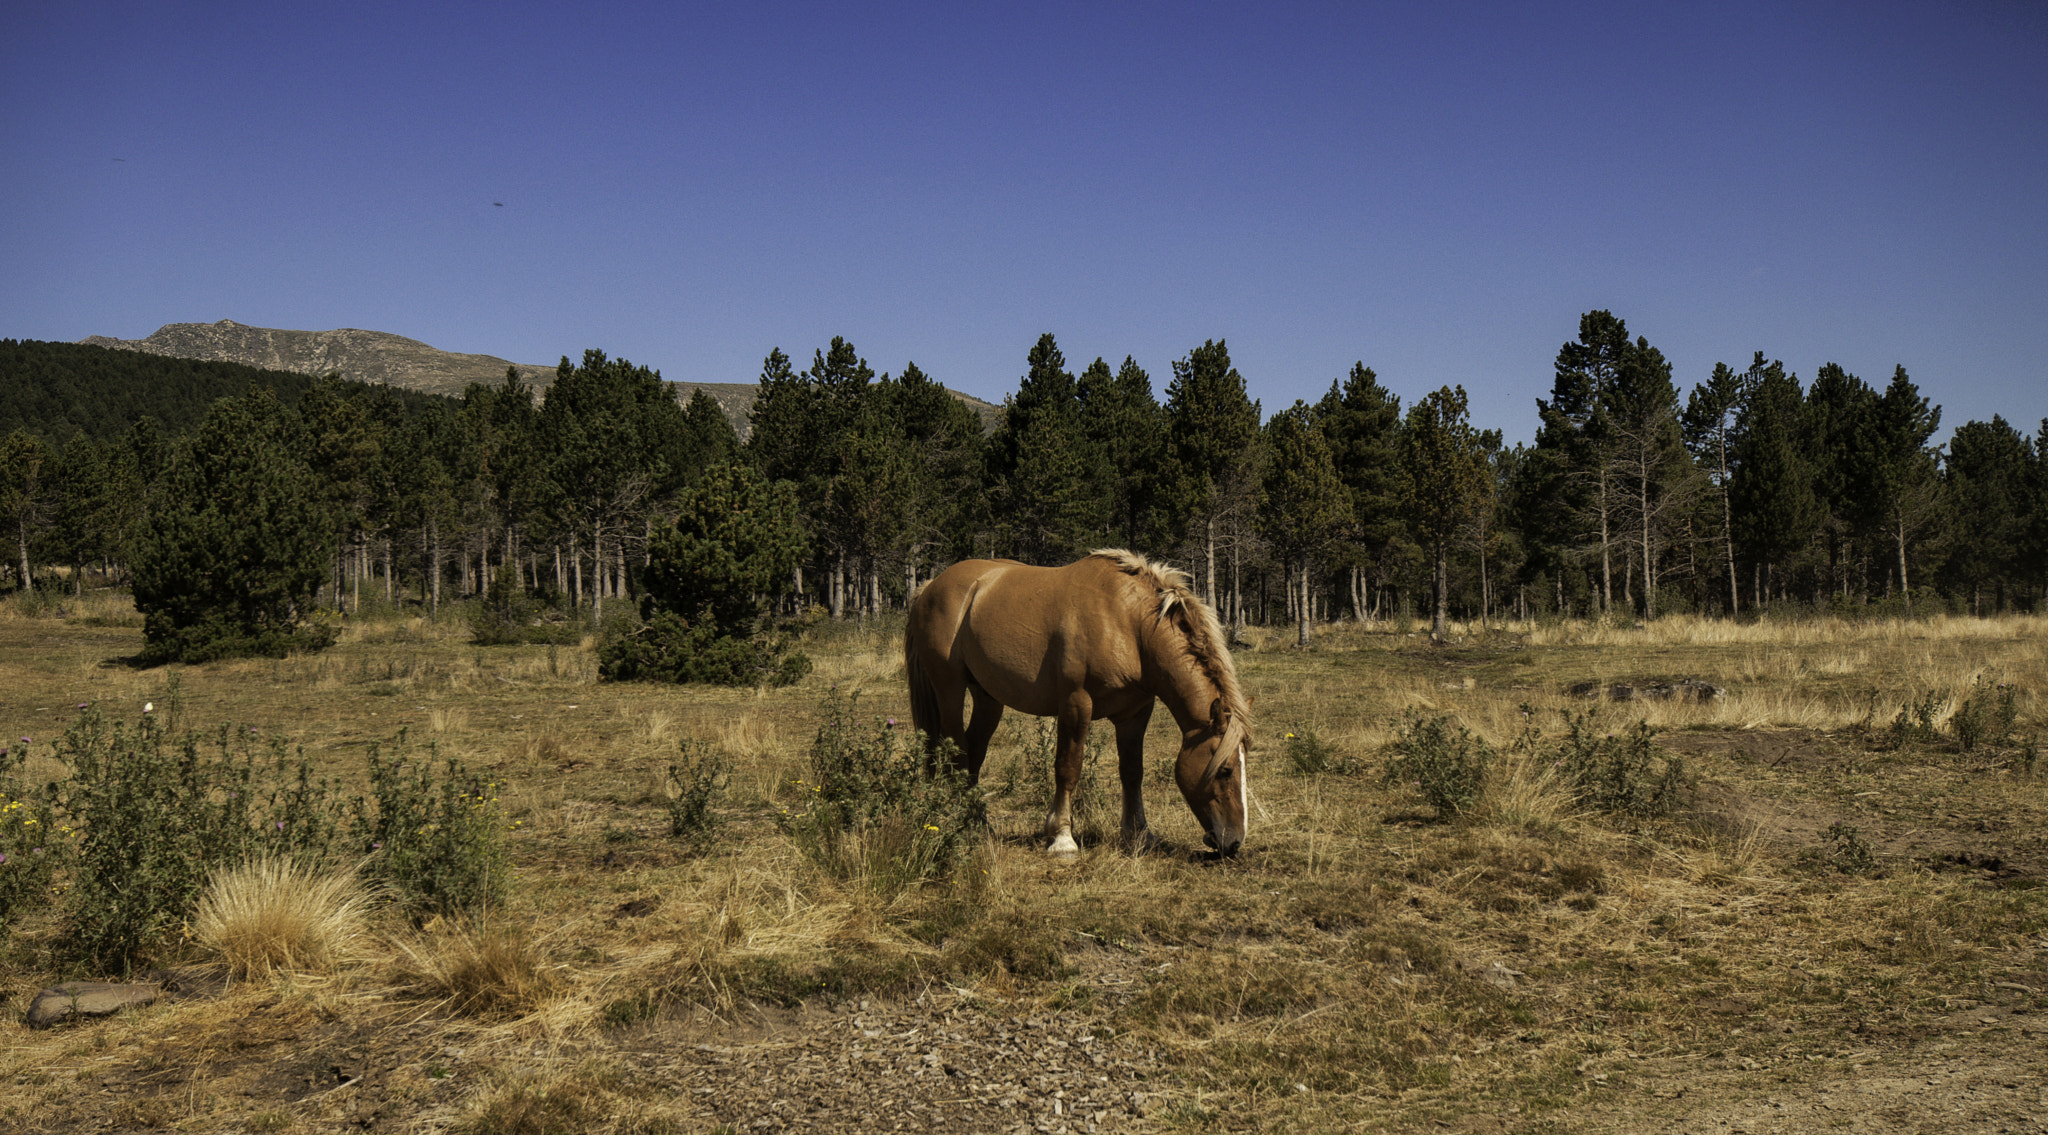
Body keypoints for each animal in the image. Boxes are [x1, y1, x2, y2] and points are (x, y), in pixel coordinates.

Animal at [903, 549, 1252, 857]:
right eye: (1225, 770)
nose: (1234, 842)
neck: (1129, 625)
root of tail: (928, 587)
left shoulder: (1136, 712)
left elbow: (1132, 771)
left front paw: (1139, 835)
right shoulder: (1076, 704)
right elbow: (1068, 768)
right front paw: (1062, 839)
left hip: (988, 698)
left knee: (975, 751)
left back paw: (979, 822)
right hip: (949, 688)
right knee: (957, 749)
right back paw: (963, 821)